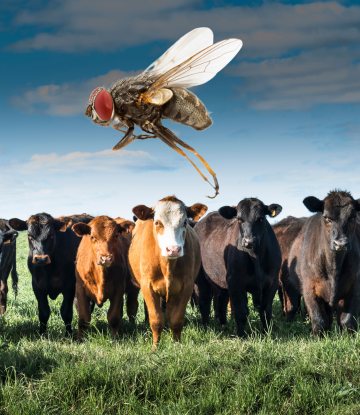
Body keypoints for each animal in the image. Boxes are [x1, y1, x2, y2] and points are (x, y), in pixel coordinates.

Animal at [129, 197, 208, 350]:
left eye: (185, 222)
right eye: (157, 222)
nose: (173, 249)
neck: (167, 266)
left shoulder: (186, 287)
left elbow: (176, 319)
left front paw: (176, 345)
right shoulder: (147, 286)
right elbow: (156, 320)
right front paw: (155, 348)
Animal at [193, 198, 282, 338]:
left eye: (261, 218)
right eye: (239, 219)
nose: (249, 241)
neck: (256, 257)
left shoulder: (273, 282)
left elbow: (266, 311)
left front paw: (267, 334)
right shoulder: (235, 281)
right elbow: (241, 312)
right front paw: (241, 336)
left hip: (220, 280)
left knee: (220, 303)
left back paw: (223, 325)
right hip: (201, 278)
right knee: (204, 301)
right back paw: (206, 328)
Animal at [282, 192, 360, 338]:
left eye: (353, 217)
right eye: (326, 217)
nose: (341, 243)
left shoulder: (354, 287)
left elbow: (347, 320)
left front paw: (349, 338)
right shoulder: (309, 289)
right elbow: (320, 320)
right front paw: (320, 339)